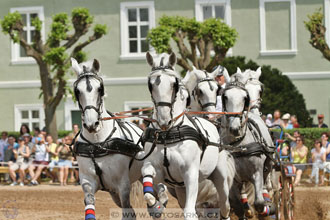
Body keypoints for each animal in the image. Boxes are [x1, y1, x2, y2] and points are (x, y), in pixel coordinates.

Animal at [71, 57, 144, 219]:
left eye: (100, 89)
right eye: (77, 91)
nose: (91, 124)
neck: (98, 143)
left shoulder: (123, 185)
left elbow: (126, 210)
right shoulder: (87, 182)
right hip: (113, 192)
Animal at [142, 52, 232, 220]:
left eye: (174, 84)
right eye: (150, 85)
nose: (164, 119)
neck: (168, 134)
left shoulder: (190, 174)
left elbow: (190, 211)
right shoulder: (155, 169)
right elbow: (149, 189)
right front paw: (156, 206)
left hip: (220, 179)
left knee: (225, 207)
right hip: (180, 189)